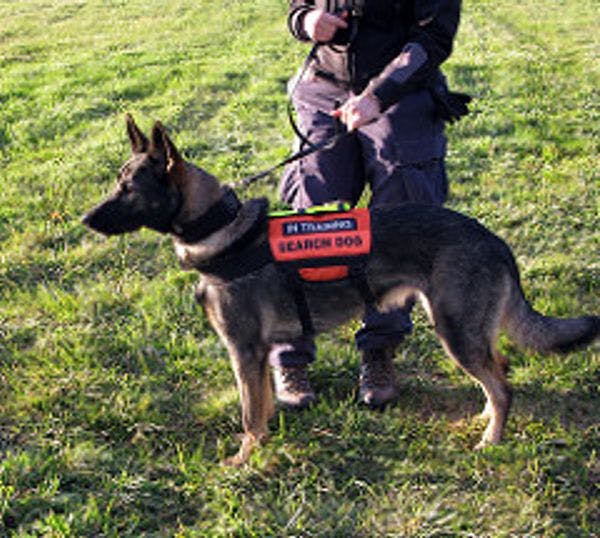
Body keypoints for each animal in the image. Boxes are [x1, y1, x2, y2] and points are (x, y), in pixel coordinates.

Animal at [84, 115, 600, 462]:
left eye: (129, 189)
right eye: (116, 183)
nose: (85, 219)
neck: (218, 228)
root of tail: (495, 241)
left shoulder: (243, 352)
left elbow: (250, 414)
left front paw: (244, 461)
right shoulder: (258, 357)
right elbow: (264, 408)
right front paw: (261, 447)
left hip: (455, 332)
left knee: (503, 385)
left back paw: (490, 440)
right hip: (461, 330)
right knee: (499, 371)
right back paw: (483, 419)